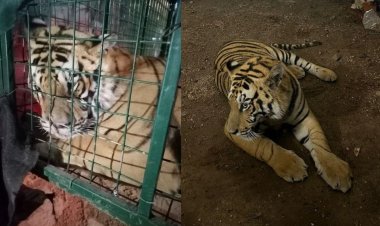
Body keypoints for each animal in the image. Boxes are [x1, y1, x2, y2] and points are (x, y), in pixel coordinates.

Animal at [215, 39, 352, 192]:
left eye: (245, 105)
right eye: (230, 102)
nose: (232, 130)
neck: (274, 114)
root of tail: (231, 41)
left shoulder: (304, 117)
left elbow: (319, 141)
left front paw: (337, 170)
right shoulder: (242, 133)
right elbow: (266, 146)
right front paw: (292, 167)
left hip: (282, 53)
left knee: (304, 62)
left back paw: (326, 73)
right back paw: (297, 71)